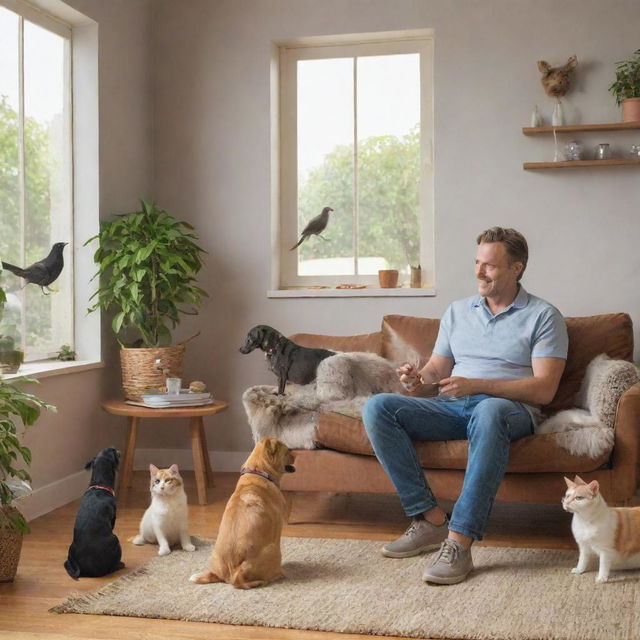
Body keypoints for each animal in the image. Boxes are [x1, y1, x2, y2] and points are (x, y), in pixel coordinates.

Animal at [63, 444, 125, 580]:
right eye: (113, 450)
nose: (116, 448)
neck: (99, 485)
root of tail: (82, 569)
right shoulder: (113, 518)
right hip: (115, 540)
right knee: (110, 568)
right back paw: (119, 565)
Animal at [189, 436, 296, 592]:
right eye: (288, 450)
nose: (296, 455)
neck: (258, 471)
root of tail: (235, 573)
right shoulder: (277, 532)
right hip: (273, 550)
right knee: (271, 575)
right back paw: (280, 574)